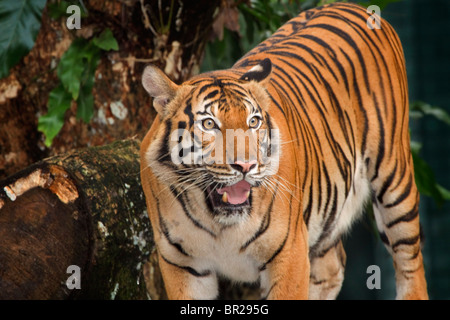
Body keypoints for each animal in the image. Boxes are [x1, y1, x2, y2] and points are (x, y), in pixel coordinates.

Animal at [140, 1, 428, 300]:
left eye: (253, 122)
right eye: (209, 124)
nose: (246, 166)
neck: (218, 224)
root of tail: (352, 6)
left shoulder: (289, 253)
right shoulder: (183, 266)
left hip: (395, 180)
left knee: (410, 260)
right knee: (333, 265)